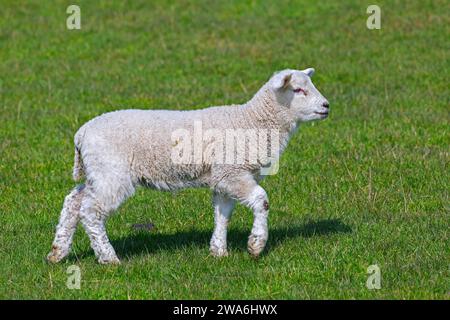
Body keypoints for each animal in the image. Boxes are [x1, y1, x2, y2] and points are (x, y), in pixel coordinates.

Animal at [47, 66, 330, 264]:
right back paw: (108, 258)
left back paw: (58, 252)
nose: (327, 106)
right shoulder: (232, 173)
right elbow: (262, 200)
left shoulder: (223, 176)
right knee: (90, 211)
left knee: (74, 201)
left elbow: (223, 214)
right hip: (112, 173)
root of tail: (81, 133)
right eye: (298, 90)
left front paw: (218, 252)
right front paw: (256, 245)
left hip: (99, 171)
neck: (251, 121)